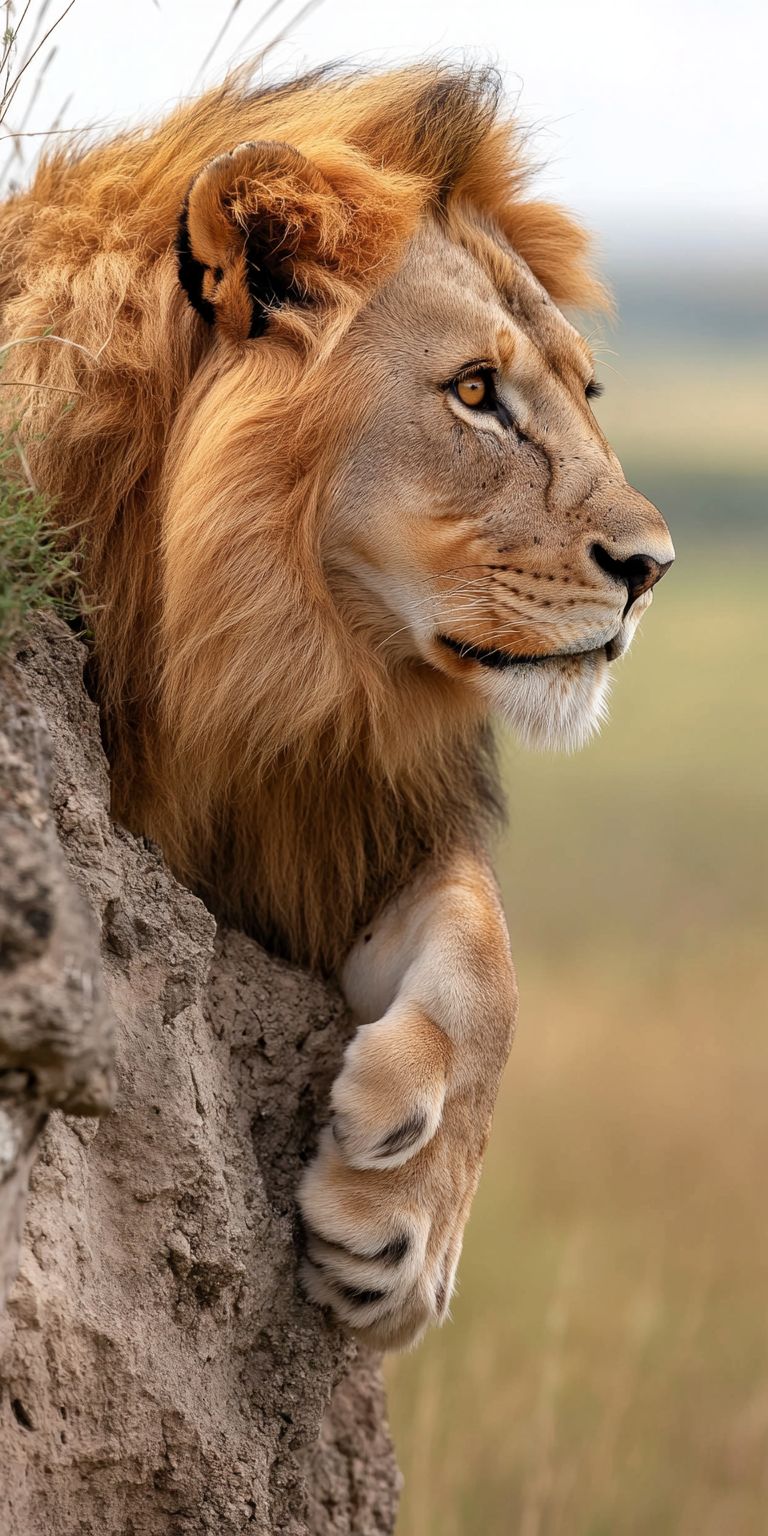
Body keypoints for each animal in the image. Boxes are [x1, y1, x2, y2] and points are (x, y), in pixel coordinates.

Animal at [0, 63, 673, 1349]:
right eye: (475, 392)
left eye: (586, 389)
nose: (652, 568)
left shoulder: (339, 837)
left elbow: (491, 963)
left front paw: (406, 1235)